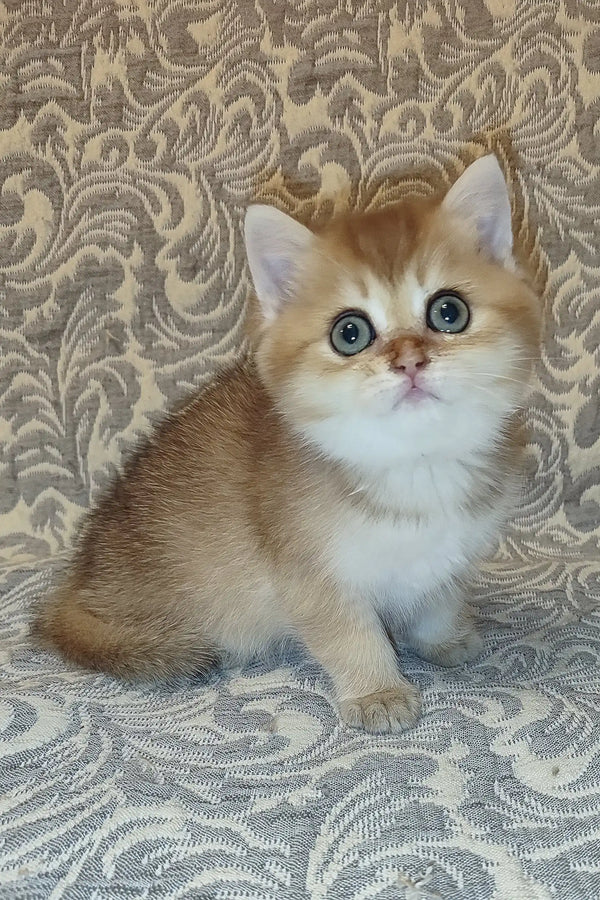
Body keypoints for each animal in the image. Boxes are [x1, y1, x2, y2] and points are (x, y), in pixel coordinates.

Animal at [35, 155, 540, 732]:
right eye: (350, 332)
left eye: (449, 312)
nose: (409, 361)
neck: (415, 464)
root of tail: (77, 584)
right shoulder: (308, 575)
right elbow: (348, 635)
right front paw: (378, 691)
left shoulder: (450, 556)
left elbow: (438, 598)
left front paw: (445, 638)